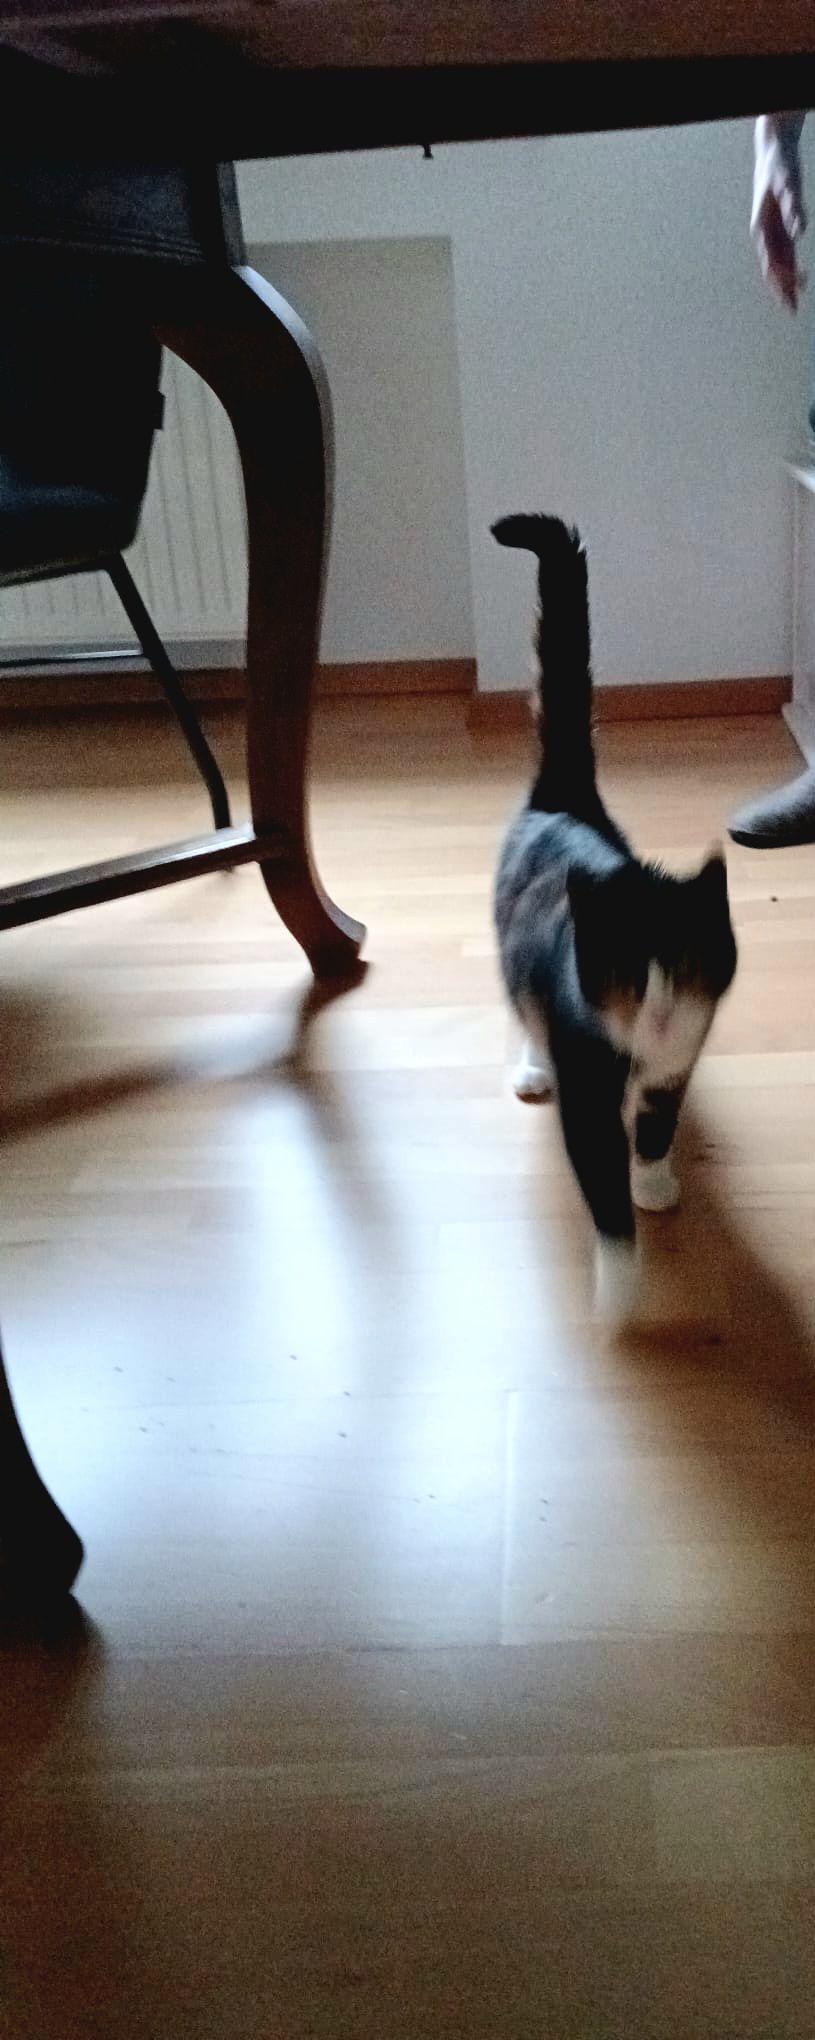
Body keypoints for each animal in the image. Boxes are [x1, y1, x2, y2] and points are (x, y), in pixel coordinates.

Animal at [492, 513, 737, 1323]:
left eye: (685, 967)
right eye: (624, 971)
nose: (658, 1011)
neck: (638, 1047)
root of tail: (565, 798)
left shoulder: (679, 1056)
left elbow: (657, 1124)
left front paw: (655, 1181)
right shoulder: (587, 1084)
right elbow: (601, 1186)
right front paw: (621, 1291)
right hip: (515, 951)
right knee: (519, 1002)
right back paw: (530, 1066)